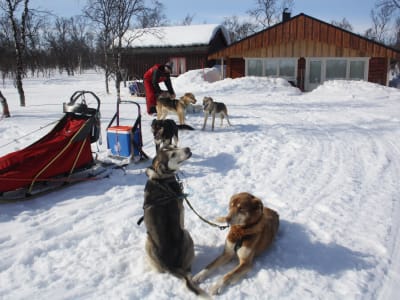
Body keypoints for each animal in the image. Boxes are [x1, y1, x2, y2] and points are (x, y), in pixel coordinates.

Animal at [142, 146, 206, 298]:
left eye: (173, 146)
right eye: (172, 154)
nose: (187, 148)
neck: (161, 180)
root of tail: (171, 266)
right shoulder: (181, 212)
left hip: (148, 242)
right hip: (187, 234)